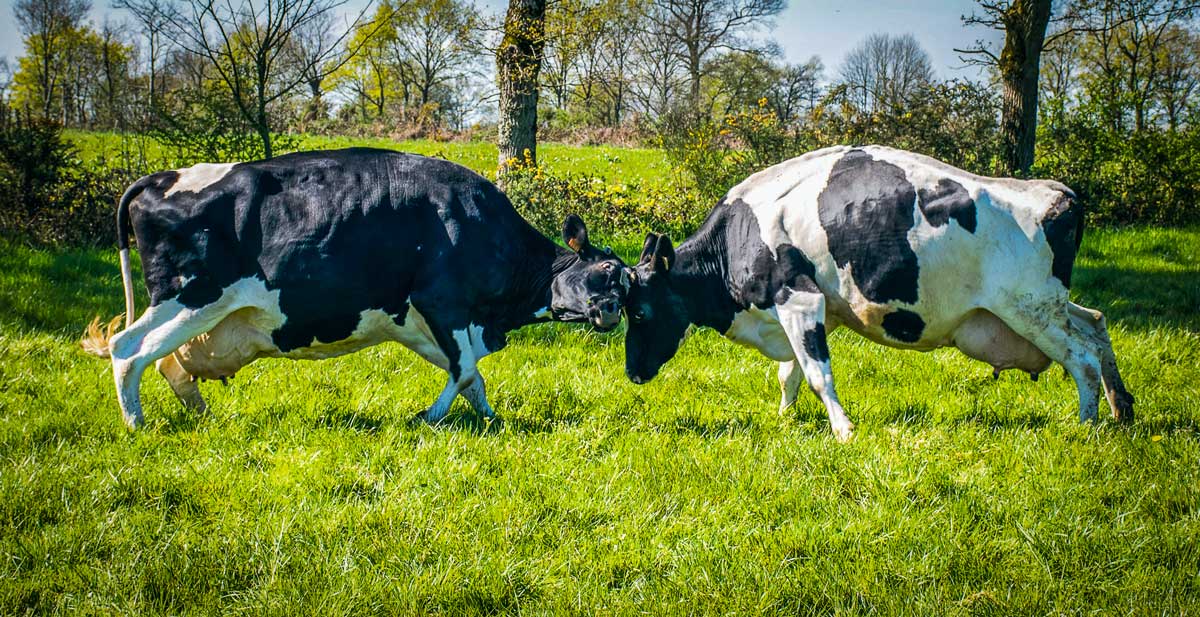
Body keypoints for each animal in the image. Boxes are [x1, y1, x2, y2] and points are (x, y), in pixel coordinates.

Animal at [82, 148, 628, 429]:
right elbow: (466, 369)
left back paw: (202, 416)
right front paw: (428, 417)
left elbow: (472, 377)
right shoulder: (443, 301)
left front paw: (489, 418)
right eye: (607, 270)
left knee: (169, 361)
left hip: (198, 310)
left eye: (630, 286)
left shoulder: (417, 321)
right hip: (191, 296)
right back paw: (137, 426)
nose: (610, 312)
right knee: (130, 349)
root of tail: (160, 177)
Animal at [616, 145, 1134, 441]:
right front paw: (784, 418)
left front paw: (843, 430)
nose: (632, 373)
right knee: (1097, 324)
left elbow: (817, 373)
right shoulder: (799, 310)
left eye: (638, 313)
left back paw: (1086, 426)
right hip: (1048, 305)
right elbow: (790, 373)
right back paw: (1121, 410)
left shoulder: (798, 298)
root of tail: (1055, 191)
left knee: (1082, 357)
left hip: (1030, 307)